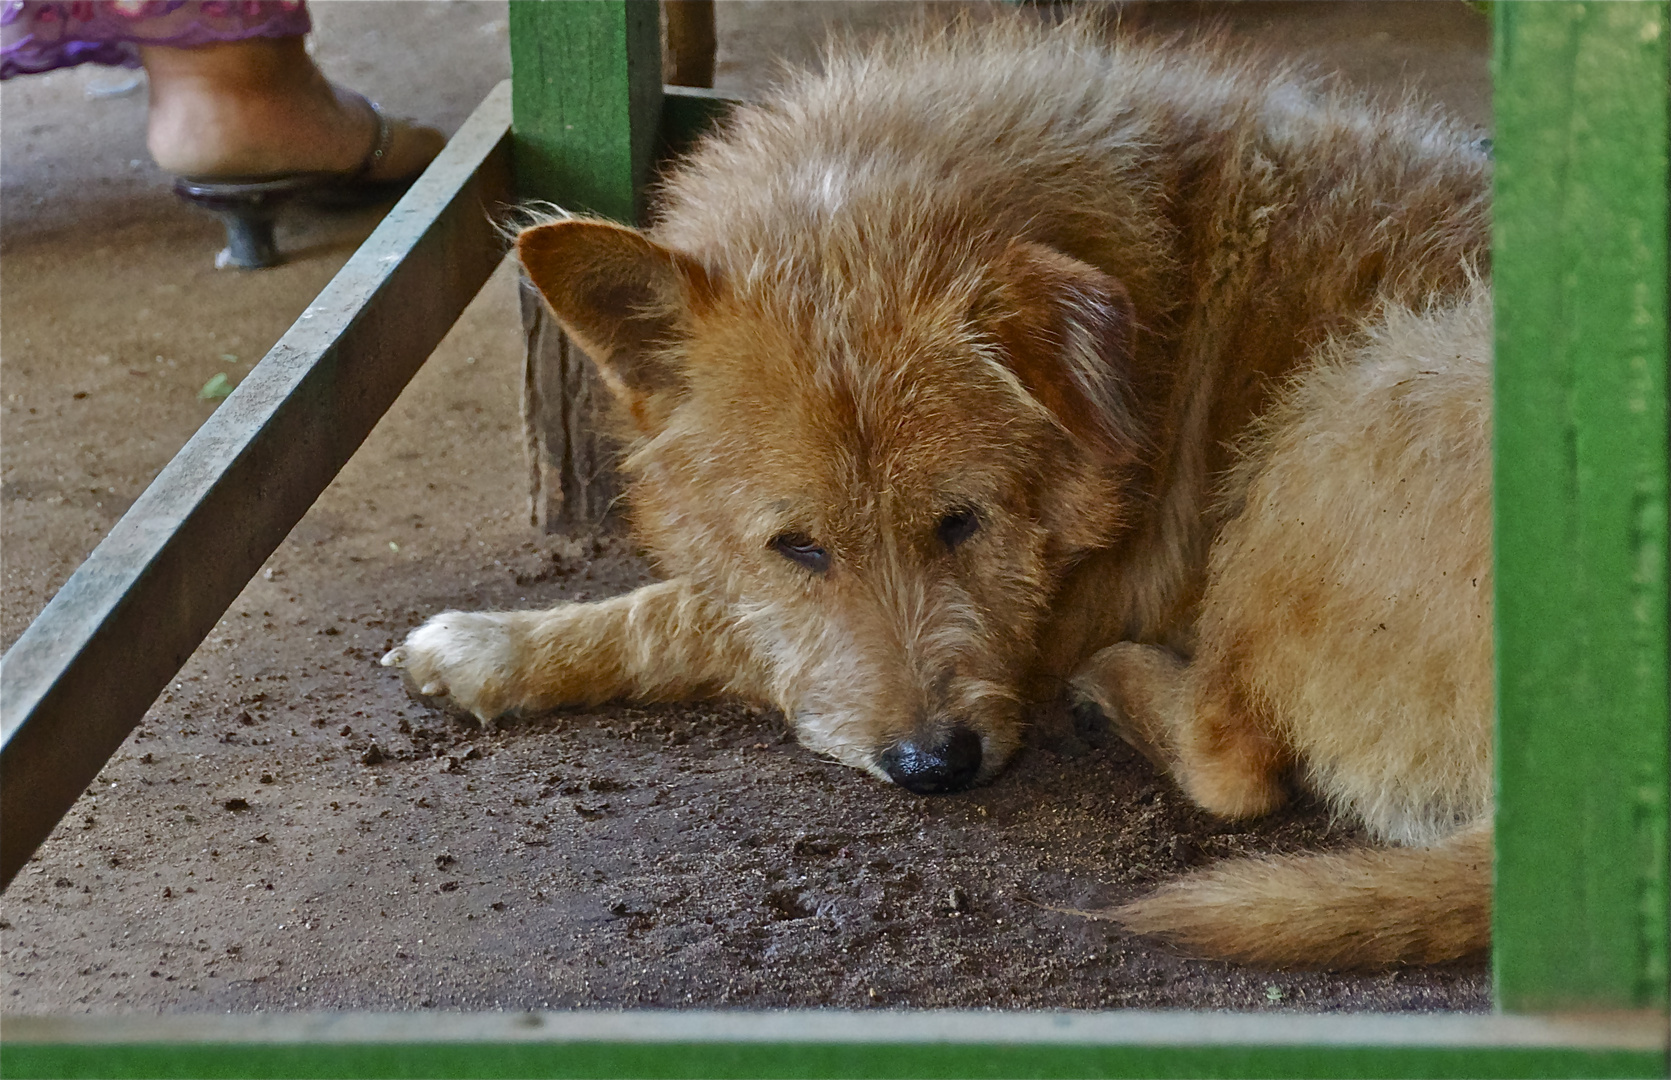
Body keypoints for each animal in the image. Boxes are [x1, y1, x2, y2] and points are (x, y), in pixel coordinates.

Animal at [384, 19, 1497, 976]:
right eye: (798, 547)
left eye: (964, 522)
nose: (936, 766)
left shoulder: (1061, 608)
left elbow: (696, 618)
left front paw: (494, 644)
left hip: (1340, 413)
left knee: (1234, 761)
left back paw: (1122, 683)